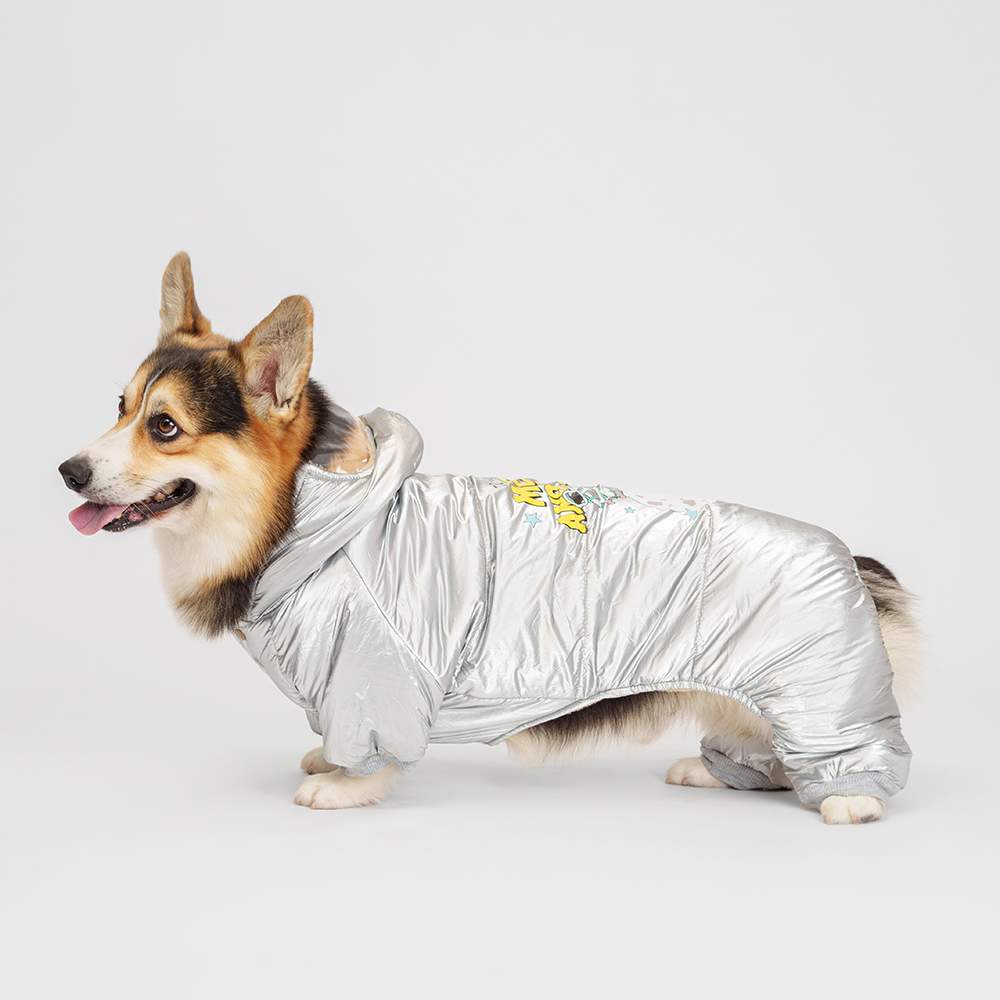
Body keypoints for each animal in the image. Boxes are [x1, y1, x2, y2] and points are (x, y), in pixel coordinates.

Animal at [59, 252, 920, 824]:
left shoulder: (372, 668)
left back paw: (848, 800)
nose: (67, 471)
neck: (299, 516)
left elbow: (372, 743)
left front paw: (342, 783)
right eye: (118, 406)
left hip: (816, 697)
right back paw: (713, 772)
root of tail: (855, 565)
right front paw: (325, 758)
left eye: (165, 427)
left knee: (846, 760)